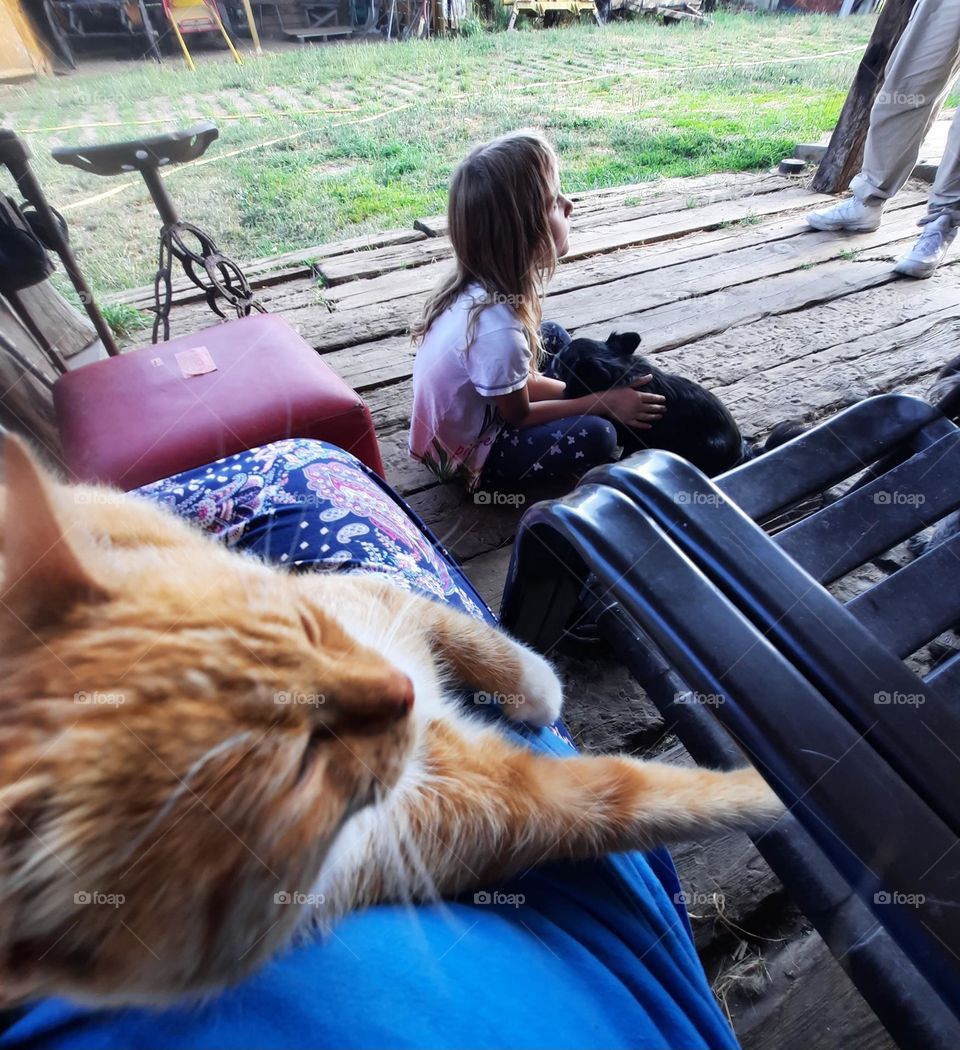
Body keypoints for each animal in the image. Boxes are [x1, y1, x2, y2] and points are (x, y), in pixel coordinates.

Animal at [0, 436, 781, 1007]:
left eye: (307, 629)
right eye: (295, 769)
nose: (400, 692)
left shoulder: (370, 595)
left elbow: (470, 635)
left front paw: (534, 685)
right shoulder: (510, 812)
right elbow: (654, 798)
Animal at [541, 331, 798, 476]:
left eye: (561, 364)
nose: (551, 357)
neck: (621, 375)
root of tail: (744, 453)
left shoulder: (638, 439)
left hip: (709, 444)